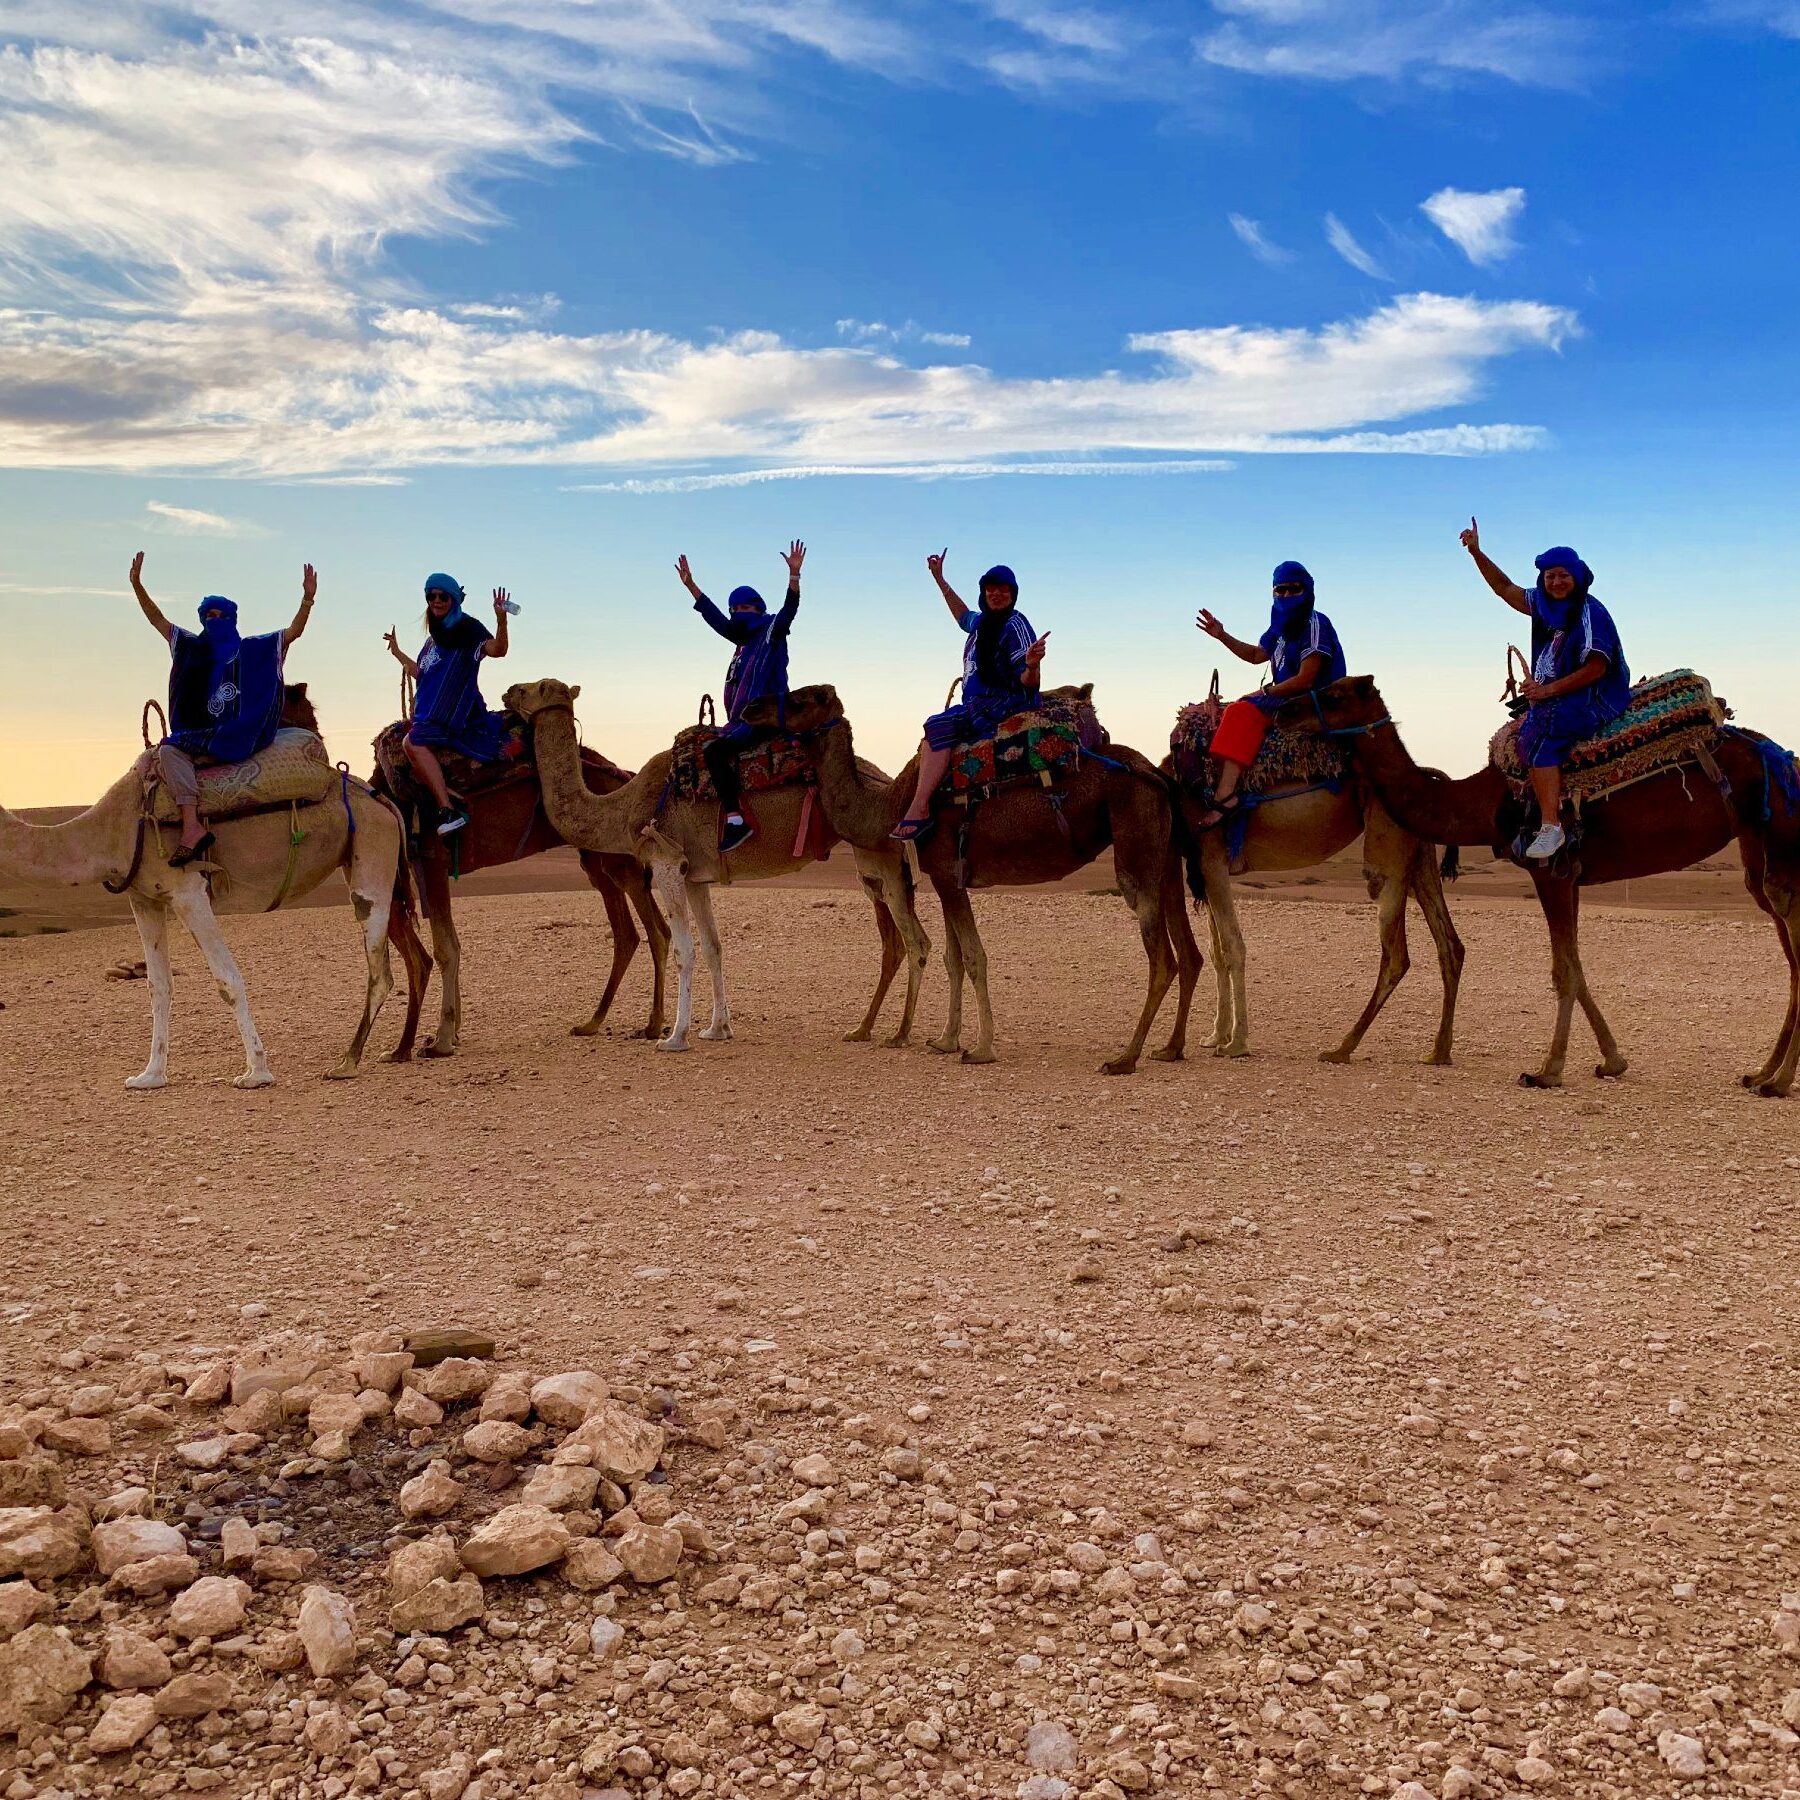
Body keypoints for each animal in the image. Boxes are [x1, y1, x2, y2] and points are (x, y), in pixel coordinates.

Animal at [365, 727, 669, 1051]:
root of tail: (624, 775)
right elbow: (452, 940)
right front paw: (452, 1033)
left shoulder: (432, 858)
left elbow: (446, 947)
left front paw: (441, 1040)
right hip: (595, 858)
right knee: (629, 932)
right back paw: (592, 1023)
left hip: (617, 857)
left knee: (653, 930)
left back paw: (652, 1024)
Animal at [504, 676, 928, 1051]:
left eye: (537, 687)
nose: (508, 692)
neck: (624, 808)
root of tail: (885, 780)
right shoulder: (696, 875)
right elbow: (712, 947)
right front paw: (717, 1029)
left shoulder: (666, 862)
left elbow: (683, 950)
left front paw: (674, 1037)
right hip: (870, 862)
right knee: (894, 941)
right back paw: (864, 1029)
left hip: (881, 856)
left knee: (914, 940)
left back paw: (900, 1034)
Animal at [770, 680, 1180, 1072]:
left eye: (800, 700)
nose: (756, 707)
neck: (894, 806)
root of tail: (1152, 770)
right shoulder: (948, 878)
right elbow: (953, 958)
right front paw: (946, 1040)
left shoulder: (947, 873)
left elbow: (973, 956)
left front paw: (981, 1048)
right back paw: (1168, 1049)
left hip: (1135, 845)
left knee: (1162, 958)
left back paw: (1125, 1058)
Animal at [1159, 748, 1468, 1058]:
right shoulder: (1207, 868)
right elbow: (1217, 951)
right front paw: (1216, 1036)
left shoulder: (1213, 860)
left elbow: (1232, 947)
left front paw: (1237, 1043)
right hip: (1420, 855)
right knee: (1450, 945)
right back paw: (1438, 1052)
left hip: (1389, 854)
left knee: (1397, 955)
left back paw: (1342, 1049)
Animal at [1281, 676, 1800, 1094]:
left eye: (1334, 693)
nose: (1282, 706)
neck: (1483, 799)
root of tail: (1783, 760)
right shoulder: (1571, 875)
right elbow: (1576, 966)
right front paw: (1612, 1061)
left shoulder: (1547, 868)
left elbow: (1562, 970)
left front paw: (1547, 1070)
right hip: (1758, 849)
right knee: (1787, 947)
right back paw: (1762, 1073)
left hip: (1781, 841)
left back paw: (1778, 1083)